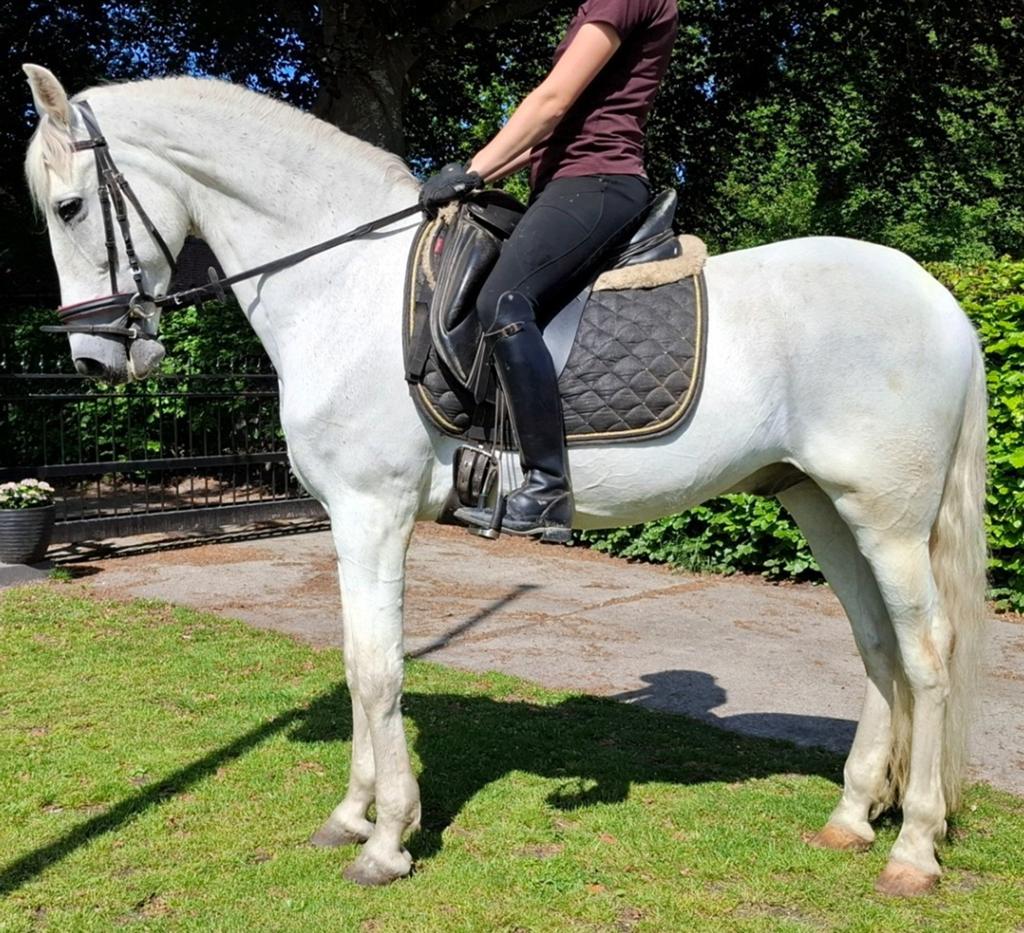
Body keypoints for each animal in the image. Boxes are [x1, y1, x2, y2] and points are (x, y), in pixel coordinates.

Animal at [22, 64, 988, 897]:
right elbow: (357, 660)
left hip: (888, 520)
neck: (342, 285)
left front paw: (386, 839)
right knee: (877, 646)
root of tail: (941, 299)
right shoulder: (346, 519)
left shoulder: (373, 513)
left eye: (68, 206)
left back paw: (912, 849)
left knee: (929, 653)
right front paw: (351, 813)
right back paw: (852, 817)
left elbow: (378, 668)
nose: (95, 357)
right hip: (820, 502)